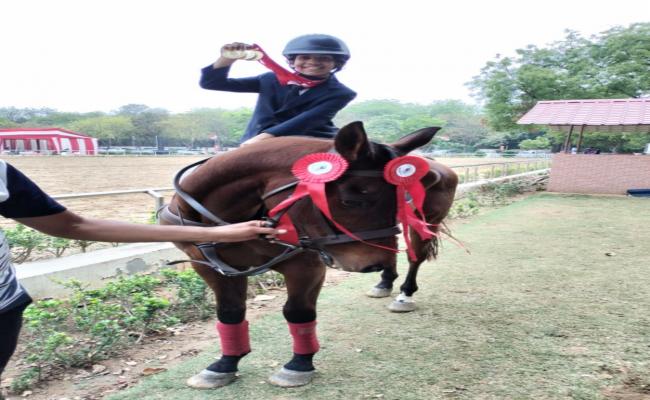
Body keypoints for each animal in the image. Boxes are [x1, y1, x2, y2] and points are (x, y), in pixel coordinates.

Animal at [160, 121, 458, 388]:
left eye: (399, 198)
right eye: (351, 201)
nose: (369, 264)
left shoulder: (305, 264)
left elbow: (297, 311)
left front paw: (298, 365)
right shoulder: (210, 267)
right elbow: (230, 312)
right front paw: (224, 364)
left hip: (424, 222)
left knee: (414, 257)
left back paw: (404, 294)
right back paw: (385, 282)